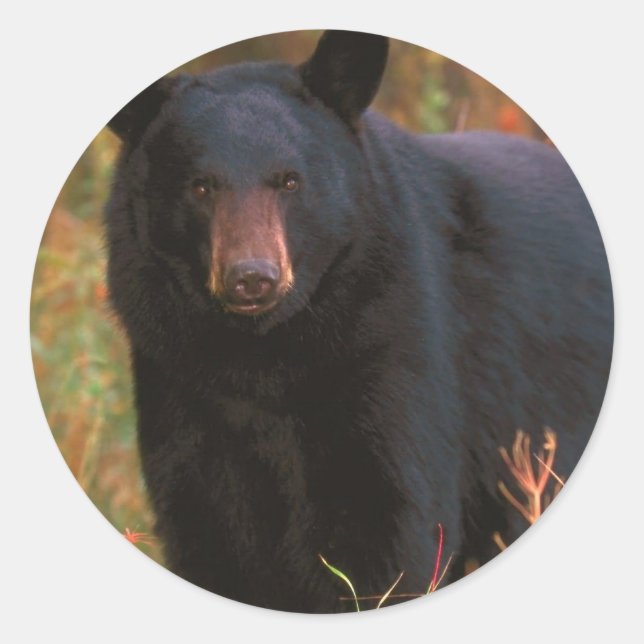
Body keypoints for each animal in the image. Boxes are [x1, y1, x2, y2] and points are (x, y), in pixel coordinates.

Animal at [104, 30, 613, 612]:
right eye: (201, 185)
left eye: (290, 181)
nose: (251, 277)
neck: (264, 354)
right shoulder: (178, 374)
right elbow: (207, 526)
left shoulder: (391, 344)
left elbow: (387, 526)